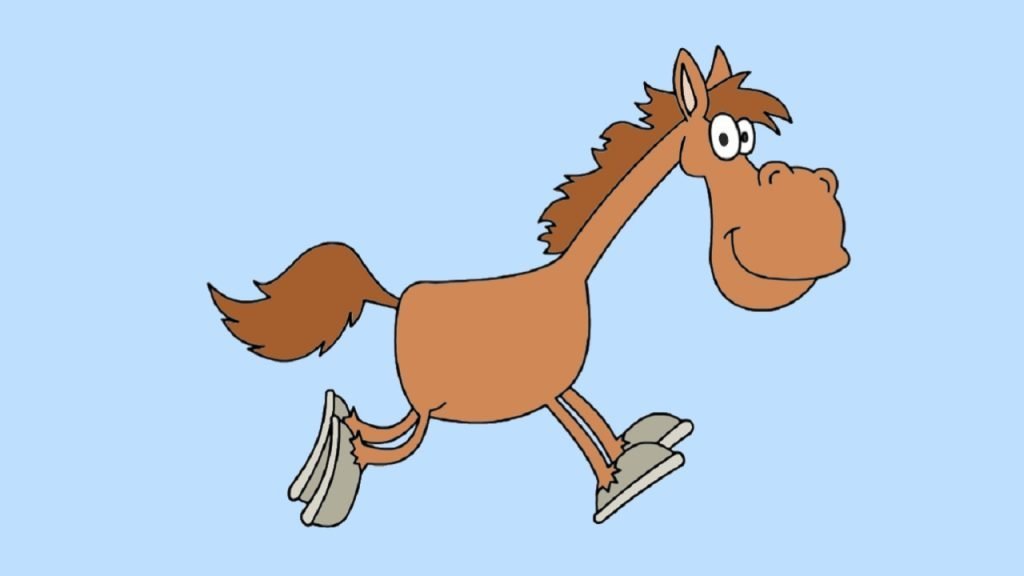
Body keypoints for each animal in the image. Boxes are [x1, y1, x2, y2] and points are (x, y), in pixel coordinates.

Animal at [209, 46, 850, 525]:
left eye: (745, 138)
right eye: (724, 140)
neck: (573, 276)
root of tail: (395, 298)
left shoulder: (558, 380)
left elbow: (590, 413)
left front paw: (640, 450)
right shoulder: (542, 386)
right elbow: (578, 428)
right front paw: (615, 485)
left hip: (422, 409)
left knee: (370, 428)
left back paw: (325, 459)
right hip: (427, 413)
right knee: (381, 444)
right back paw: (329, 486)